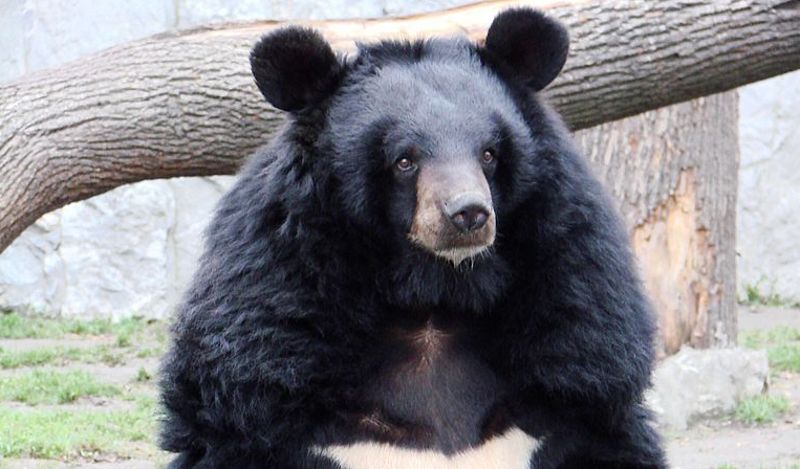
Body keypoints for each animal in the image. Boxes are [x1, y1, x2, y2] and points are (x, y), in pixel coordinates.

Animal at [159, 8, 667, 469]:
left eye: (489, 154)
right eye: (405, 160)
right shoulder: (267, 346)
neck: (433, 295)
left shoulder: (577, 345)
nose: (468, 214)